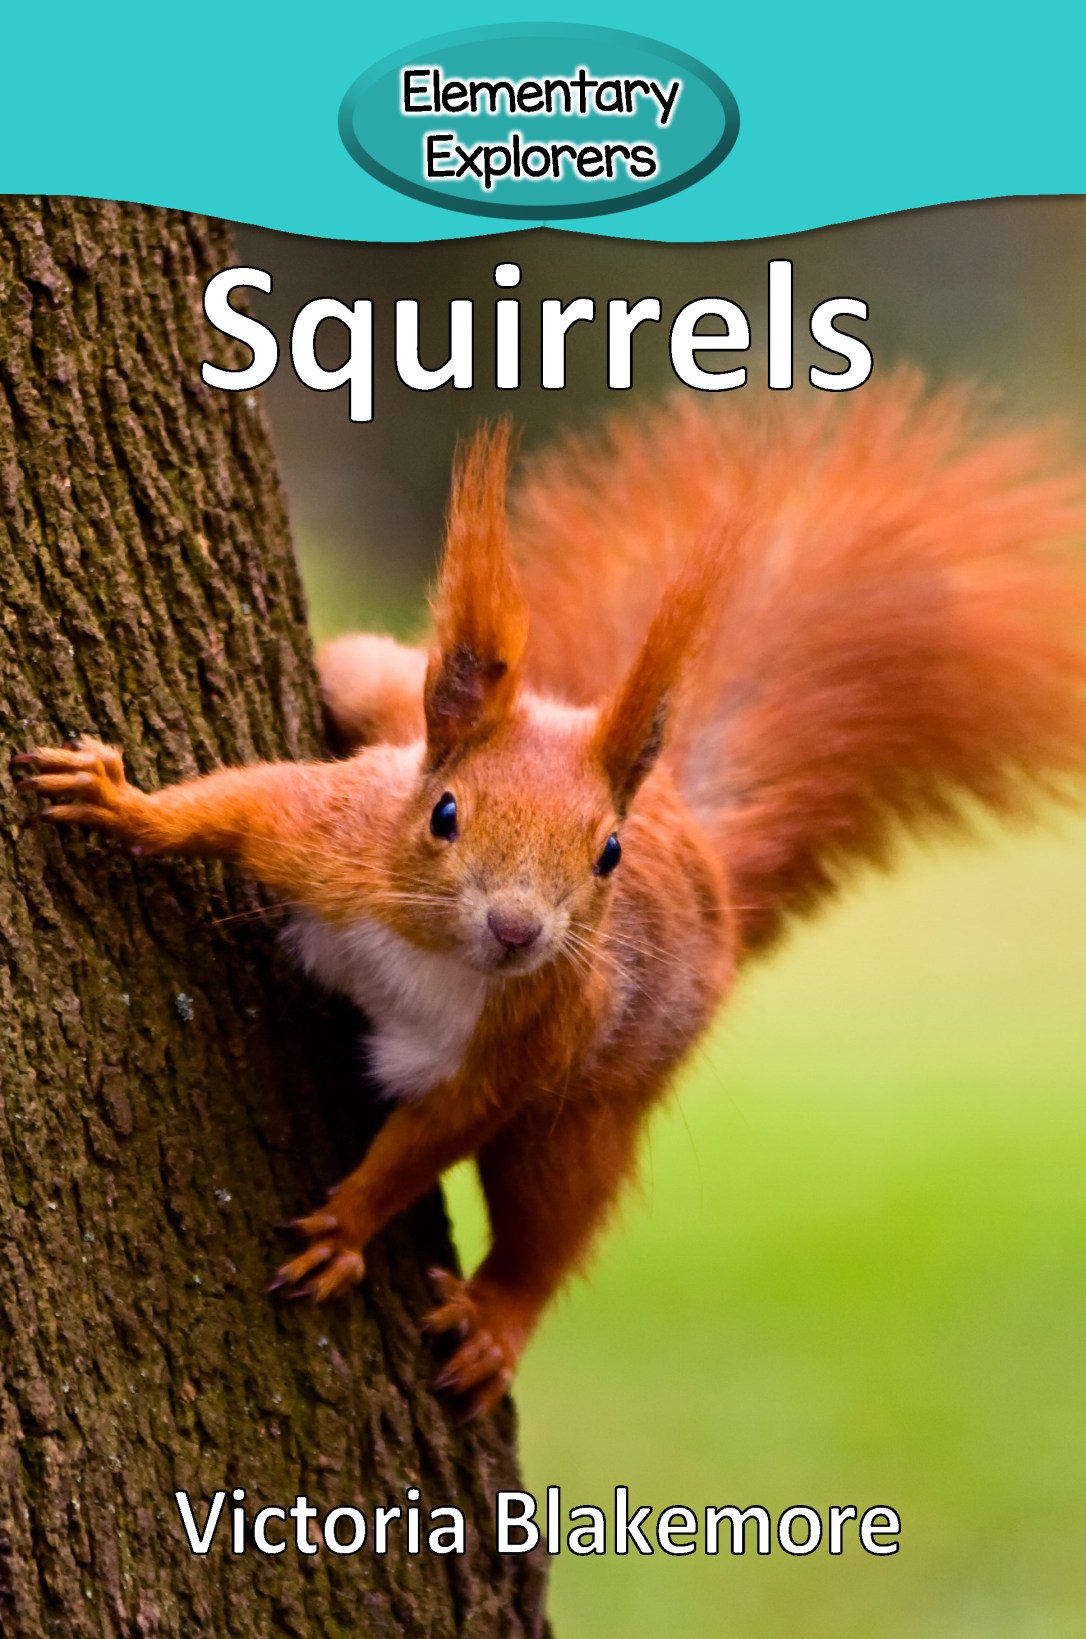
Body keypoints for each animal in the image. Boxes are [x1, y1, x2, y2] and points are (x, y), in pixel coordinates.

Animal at [15, 374, 1086, 1417]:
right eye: (444, 813)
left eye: (607, 852)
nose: (518, 929)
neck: (433, 951)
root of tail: (704, 853)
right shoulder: (332, 840)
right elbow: (234, 807)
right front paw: (120, 801)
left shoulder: (530, 1040)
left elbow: (431, 1138)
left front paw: (348, 1226)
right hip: (385, 694)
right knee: (364, 674)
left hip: (594, 1105)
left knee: (553, 1214)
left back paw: (497, 1319)